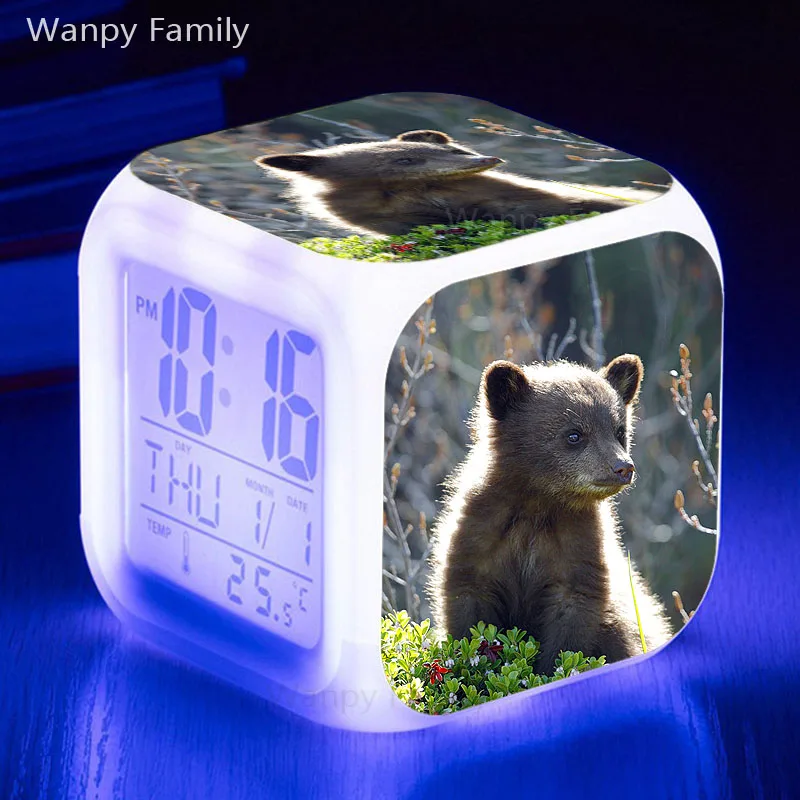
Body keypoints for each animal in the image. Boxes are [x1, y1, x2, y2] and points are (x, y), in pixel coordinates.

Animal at [426, 354, 672, 674]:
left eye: (619, 431)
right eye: (574, 434)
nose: (623, 467)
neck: (539, 502)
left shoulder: (577, 543)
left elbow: (573, 614)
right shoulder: (482, 530)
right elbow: (469, 603)